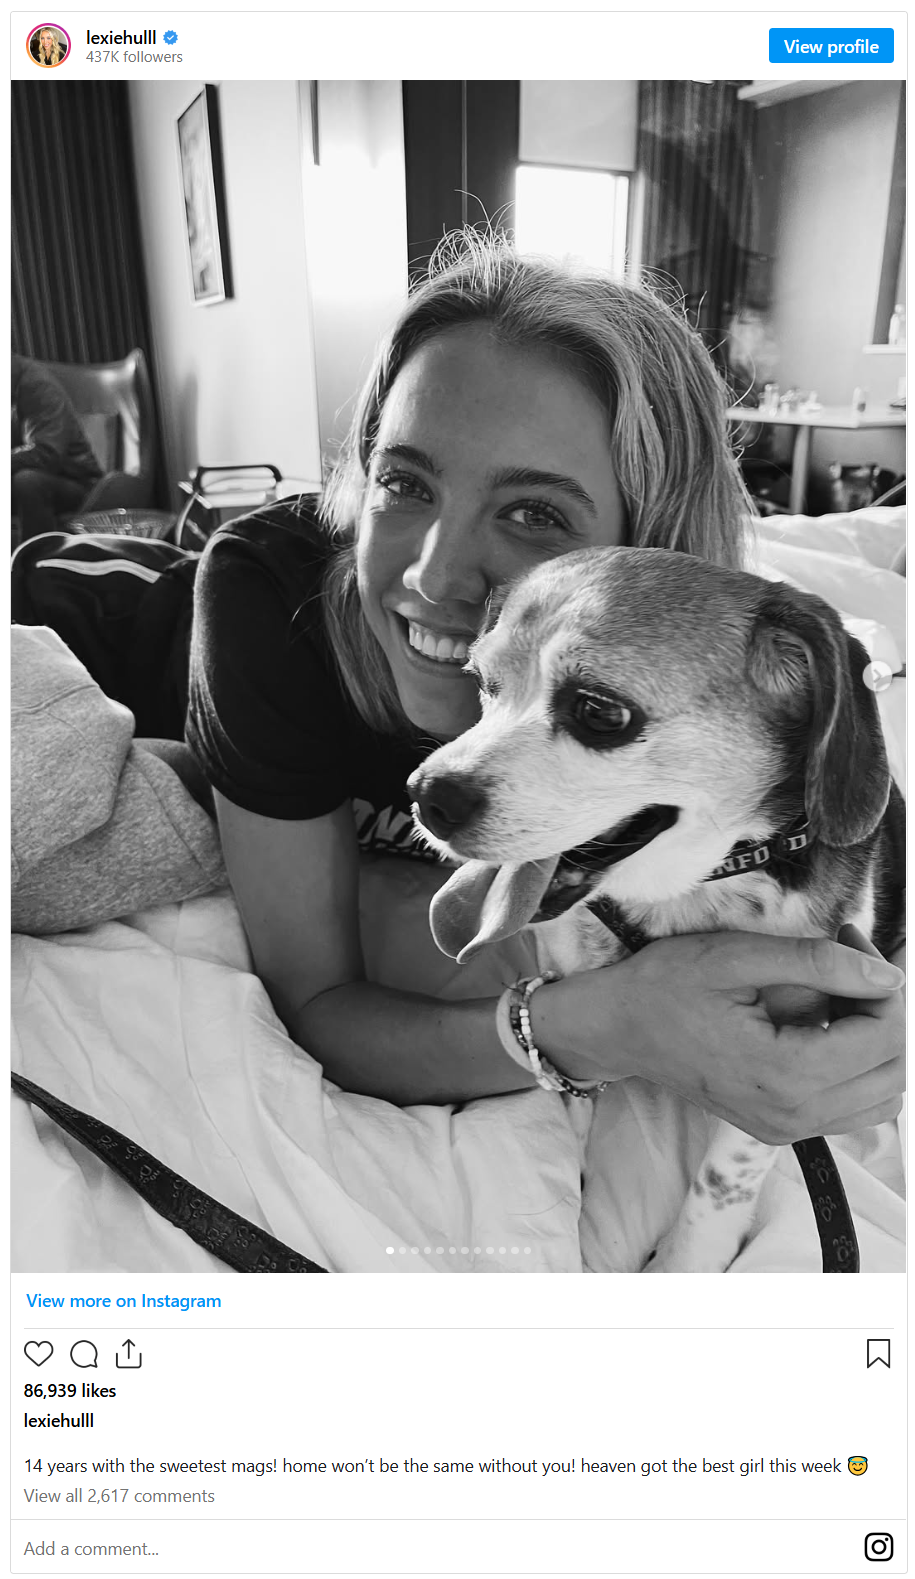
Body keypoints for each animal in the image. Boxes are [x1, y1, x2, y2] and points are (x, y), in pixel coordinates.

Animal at [408, 546, 904, 1273]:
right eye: (483, 683)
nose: (425, 796)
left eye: (598, 711)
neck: (688, 888)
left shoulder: (799, 1058)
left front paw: (683, 1262)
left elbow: (720, 1181)